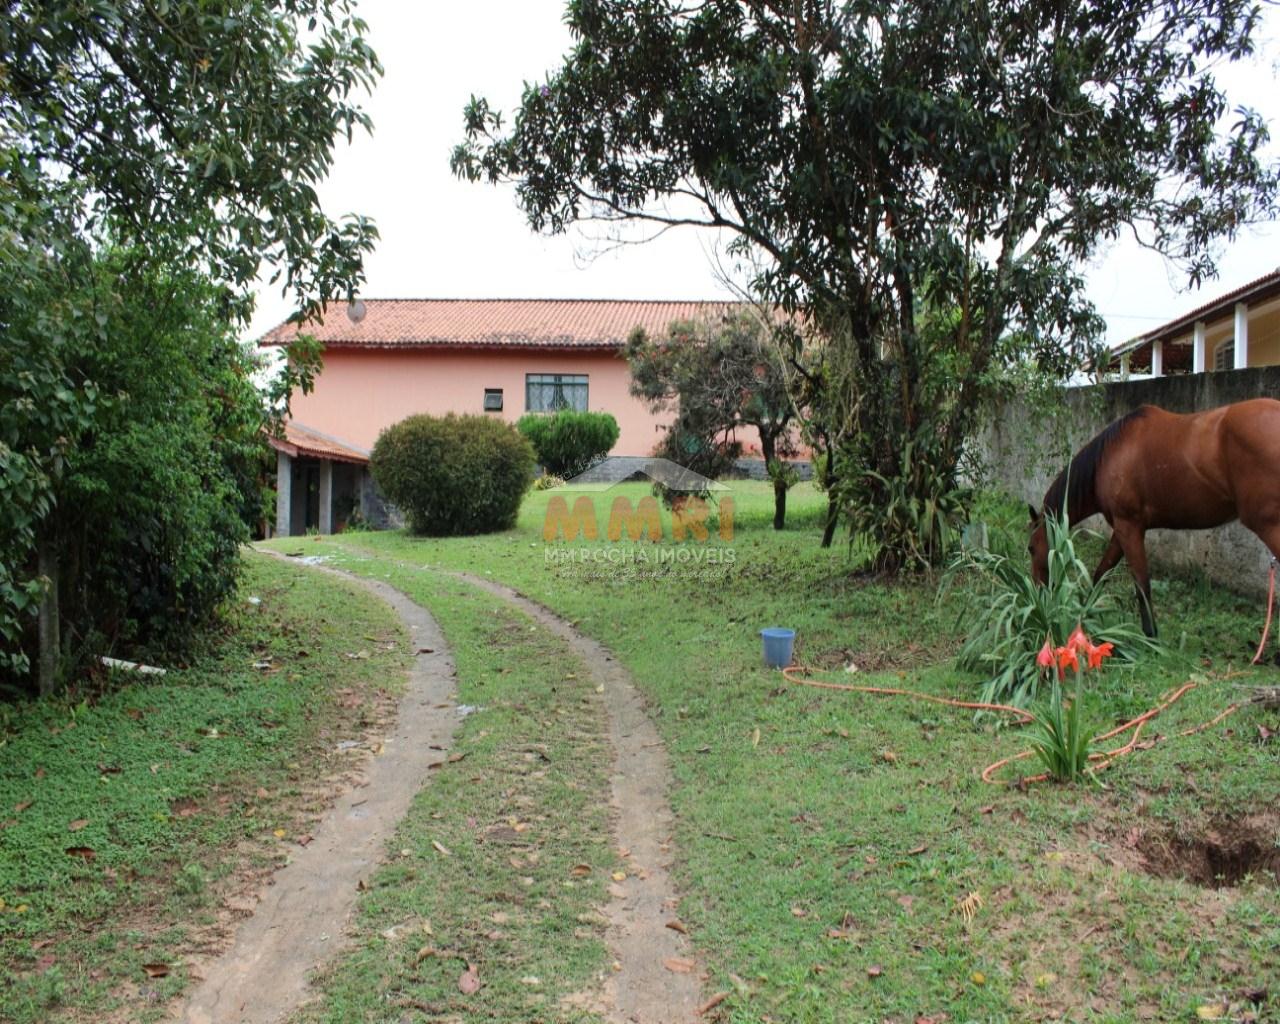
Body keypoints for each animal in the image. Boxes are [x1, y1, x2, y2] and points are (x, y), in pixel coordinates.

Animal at [1024, 396, 1280, 632]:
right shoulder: (1122, 530)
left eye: (1031, 548)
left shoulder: (1130, 528)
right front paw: (1085, 615)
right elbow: (1101, 573)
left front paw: (1150, 637)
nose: (1037, 593)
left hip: (1269, 527)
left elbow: (1142, 587)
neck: (1108, 457)